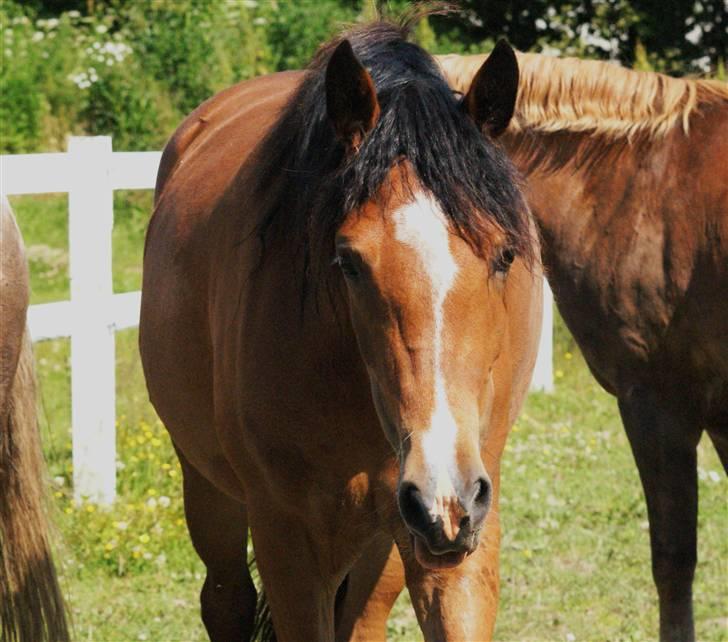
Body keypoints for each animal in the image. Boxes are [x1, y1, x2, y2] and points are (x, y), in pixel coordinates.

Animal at [139, 20, 544, 640]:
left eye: (504, 255)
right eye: (349, 261)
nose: (442, 496)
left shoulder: (460, 536)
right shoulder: (289, 543)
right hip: (208, 489)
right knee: (225, 600)